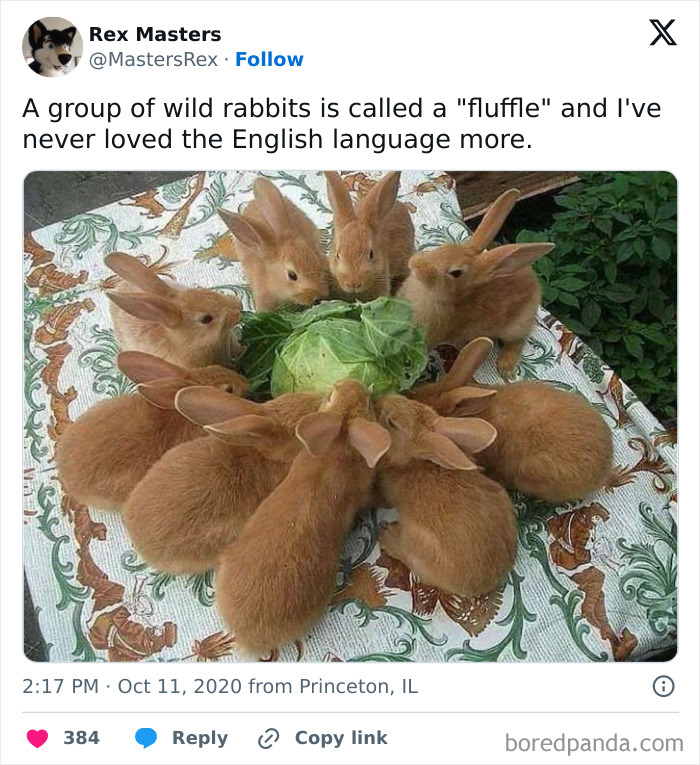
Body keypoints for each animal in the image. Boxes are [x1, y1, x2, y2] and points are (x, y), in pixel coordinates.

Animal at [375, 393, 518, 597]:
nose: (380, 400)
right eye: (415, 402)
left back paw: (388, 535)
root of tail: (484, 585)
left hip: (417, 546)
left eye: (392, 423)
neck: (415, 462)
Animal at [397, 188, 554, 378]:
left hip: (515, 325)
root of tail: (535, 283)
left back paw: (506, 367)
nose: (415, 264)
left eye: (456, 273)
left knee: (519, 340)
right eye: (443, 247)